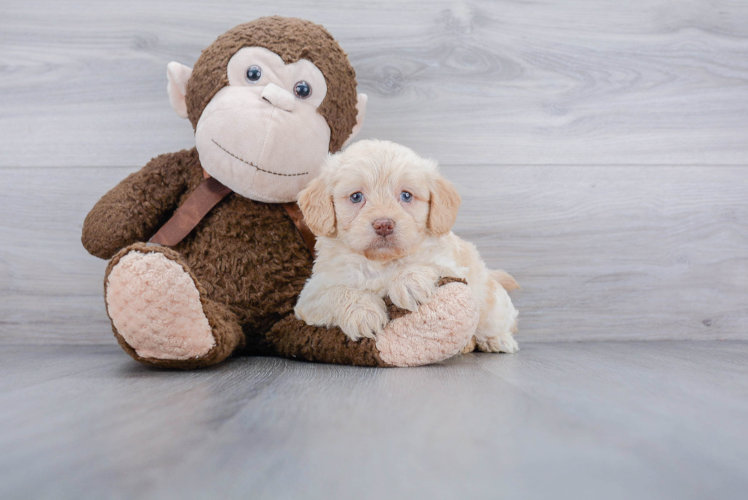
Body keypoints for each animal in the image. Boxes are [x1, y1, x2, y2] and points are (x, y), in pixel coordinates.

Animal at [294, 139, 520, 354]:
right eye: (356, 197)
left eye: (406, 196)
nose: (383, 224)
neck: (379, 263)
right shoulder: (311, 294)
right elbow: (336, 293)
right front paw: (363, 311)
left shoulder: (451, 265)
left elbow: (425, 262)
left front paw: (409, 282)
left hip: (492, 303)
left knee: (499, 322)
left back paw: (497, 340)